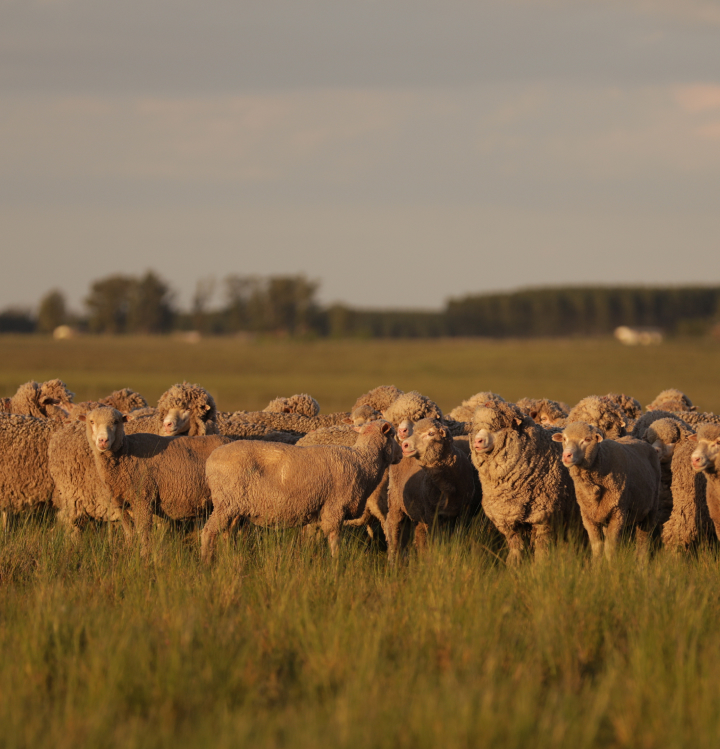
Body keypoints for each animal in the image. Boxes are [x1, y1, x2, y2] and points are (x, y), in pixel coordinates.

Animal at [81, 407, 234, 555]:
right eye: (91, 421)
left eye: (116, 422)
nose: (103, 440)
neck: (126, 452)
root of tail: (229, 440)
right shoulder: (119, 502)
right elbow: (129, 531)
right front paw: (130, 551)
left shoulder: (142, 496)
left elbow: (143, 530)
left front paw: (144, 555)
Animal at [200, 420, 403, 562]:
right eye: (393, 434)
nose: (401, 454)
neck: (363, 460)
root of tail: (210, 460)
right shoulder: (335, 507)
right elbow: (334, 538)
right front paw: (336, 564)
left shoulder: (317, 511)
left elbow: (312, 539)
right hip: (226, 503)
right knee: (208, 532)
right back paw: (206, 562)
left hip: (234, 507)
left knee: (226, 533)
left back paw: (228, 557)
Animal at [384, 418, 476, 561]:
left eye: (431, 433)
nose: (405, 445)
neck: (448, 487)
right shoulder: (432, 514)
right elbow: (436, 542)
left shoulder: (463, 512)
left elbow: (458, 539)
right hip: (395, 502)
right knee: (393, 529)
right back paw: (393, 560)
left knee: (419, 536)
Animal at [470, 401, 576, 564]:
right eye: (477, 428)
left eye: (499, 426)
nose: (477, 441)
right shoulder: (507, 518)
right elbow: (515, 545)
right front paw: (514, 564)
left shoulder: (543, 517)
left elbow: (541, 547)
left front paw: (540, 565)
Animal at [552, 422, 661, 562]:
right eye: (564, 439)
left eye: (587, 439)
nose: (566, 455)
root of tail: (640, 440)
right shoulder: (588, 516)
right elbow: (597, 546)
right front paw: (597, 565)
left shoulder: (618, 512)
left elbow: (610, 547)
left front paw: (609, 565)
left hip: (651, 509)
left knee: (643, 539)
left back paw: (642, 563)